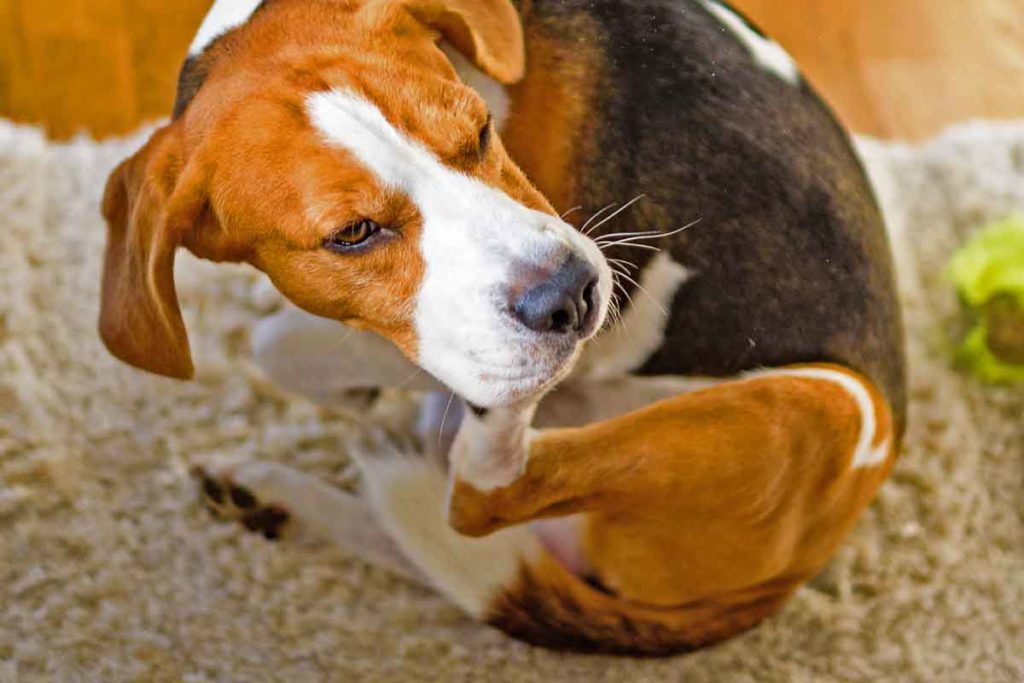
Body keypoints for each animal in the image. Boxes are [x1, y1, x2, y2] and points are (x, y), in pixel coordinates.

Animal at [99, 0, 909, 655]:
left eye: (481, 131)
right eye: (352, 233)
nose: (571, 298)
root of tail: (795, 569)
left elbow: (283, 343)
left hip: (832, 403)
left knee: (480, 497)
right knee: (448, 537)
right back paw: (276, 496)